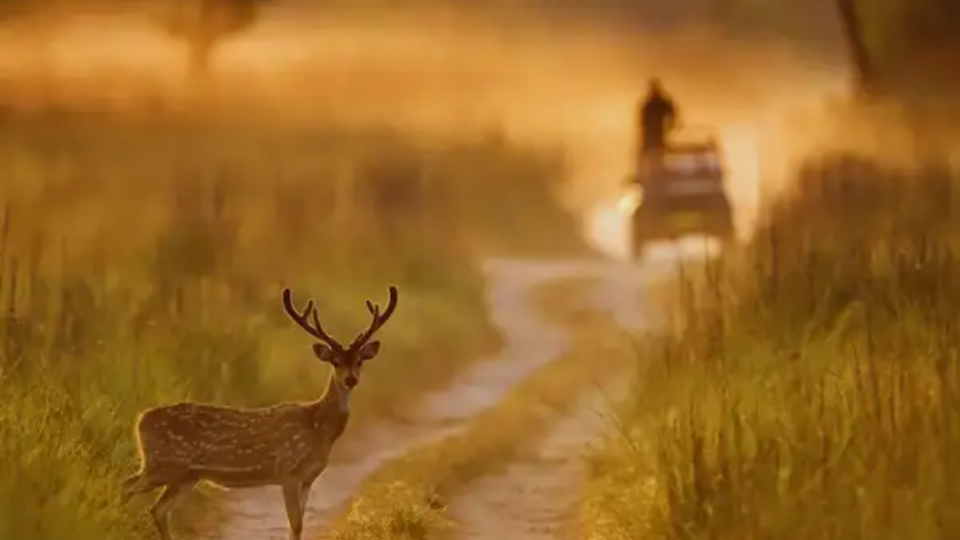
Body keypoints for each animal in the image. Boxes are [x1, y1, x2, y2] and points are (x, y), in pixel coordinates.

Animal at [121, 285, 399, 540]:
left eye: (359, 361)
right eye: (335, 362)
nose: (350, 379)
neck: (318, 428)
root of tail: (140, 420)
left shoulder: (308, 479)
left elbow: (299, 525)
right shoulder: (288, 472)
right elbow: (295, 526)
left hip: (186, 475)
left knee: (158, 509)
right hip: (163, 463)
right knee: (128, 486)